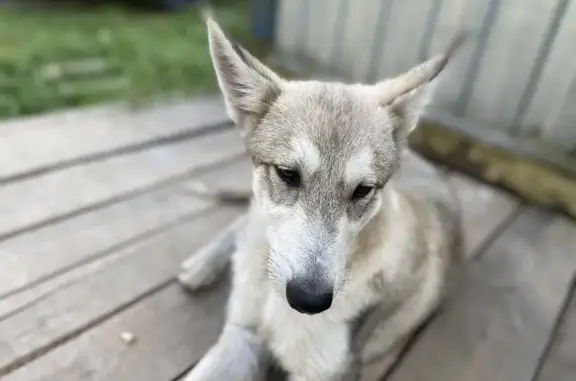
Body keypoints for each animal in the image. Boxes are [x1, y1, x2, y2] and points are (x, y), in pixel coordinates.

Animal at [178, 14, 466, 380]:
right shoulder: (242, 333)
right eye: (288, 174)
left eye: (362, 190)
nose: (309, 300)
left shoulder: (326, 370)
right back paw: (202, 264)